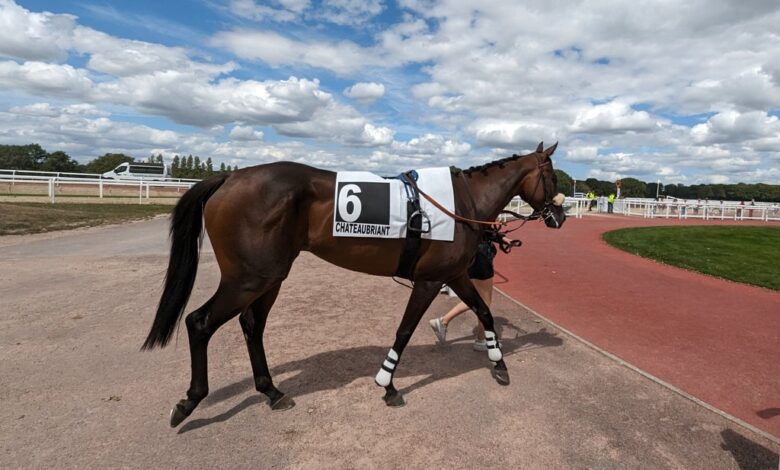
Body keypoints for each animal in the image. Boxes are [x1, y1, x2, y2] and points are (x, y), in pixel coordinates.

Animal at [143, 140, 564, 426]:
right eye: (552, 175)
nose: (559, 215)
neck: (461, 204)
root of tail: (230, 176)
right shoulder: (429, 281)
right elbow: (405, 330)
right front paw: (387, 383)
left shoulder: (456, 275)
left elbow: (485, 313)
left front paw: (499, 363)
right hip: (248, 278)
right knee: (200, 322)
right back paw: (190, 400)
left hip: (270, 277)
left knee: (251, 325)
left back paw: (272, 391)